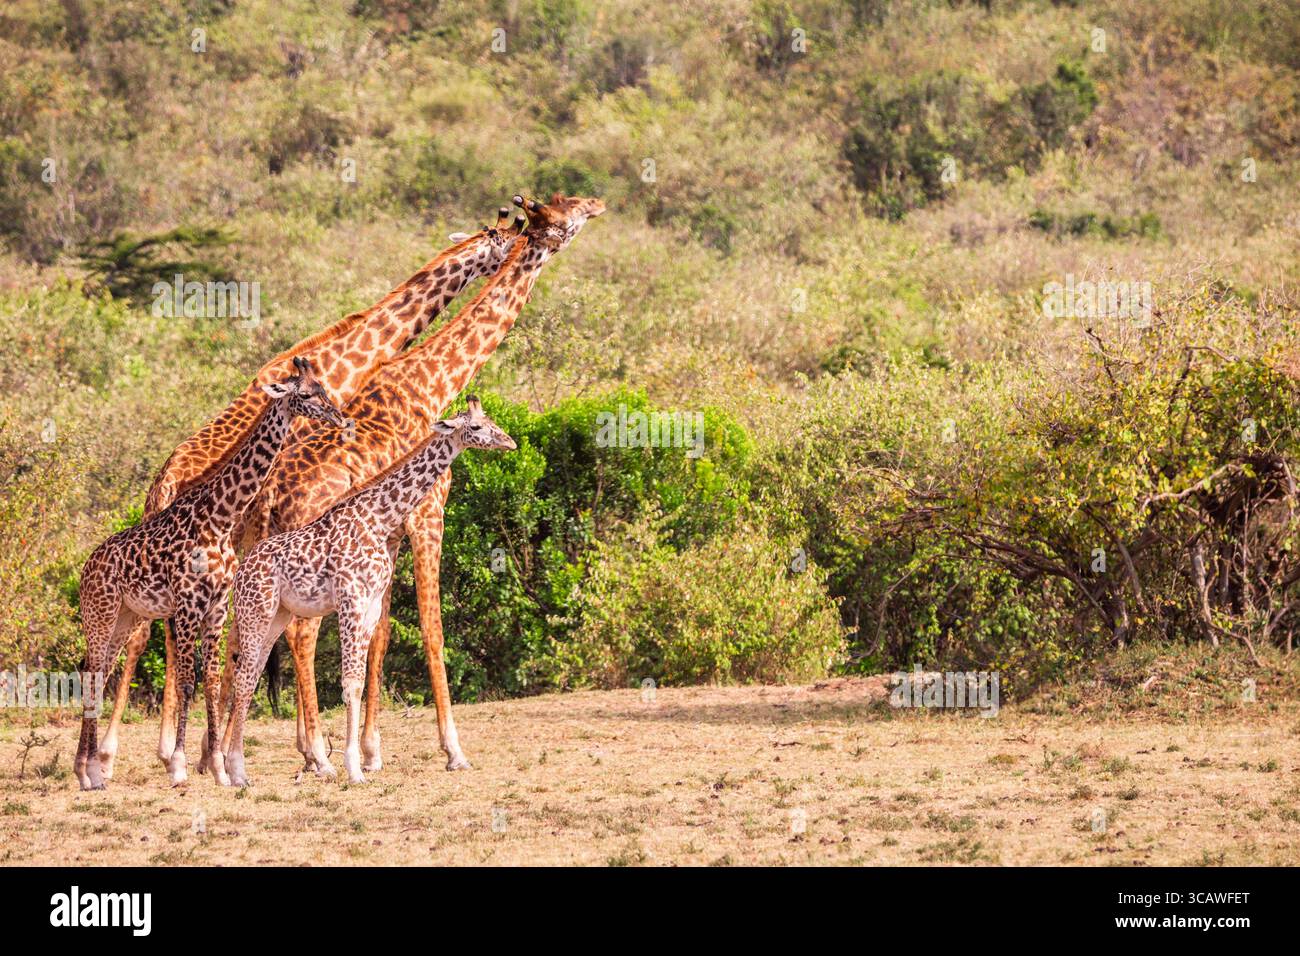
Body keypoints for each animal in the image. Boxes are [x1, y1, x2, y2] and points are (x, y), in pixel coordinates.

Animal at [74, 359, 345, 790]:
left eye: (323, 388)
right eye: (304, 394)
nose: (338, 417)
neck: (220, 518)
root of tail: (86, 568)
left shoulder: (218, 603)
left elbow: (215, 679)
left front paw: (219, 768)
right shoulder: (186, 604)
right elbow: (188, 681)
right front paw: (179, 765)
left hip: (124, 617)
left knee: (94, 672)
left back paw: (87, 770)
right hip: (100, 613)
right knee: (92, 672)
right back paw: (90, 772)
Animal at [216, 398, 516, 785]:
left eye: (491, 421)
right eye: (476, 427)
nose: (509, 442)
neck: (379, 517)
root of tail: (241, 571)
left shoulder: (371, 604)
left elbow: (361, 676)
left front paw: (360, 760)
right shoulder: (351, 599)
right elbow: (350, 683)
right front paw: (354, 767)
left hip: (276, 617)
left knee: (250, 676)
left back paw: (237, 768)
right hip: (257, 611)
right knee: (244, 676)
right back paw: (238, 771)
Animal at [245, 193, 605, 778]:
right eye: (564, 213)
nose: (596, 203)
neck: (431, 381)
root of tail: (273, 493)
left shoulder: (386, 539)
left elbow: (382, 634)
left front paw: (372, 751)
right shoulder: (429, 514)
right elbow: (433, 630)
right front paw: (453, 748)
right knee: (299, 633)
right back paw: (317, 754)